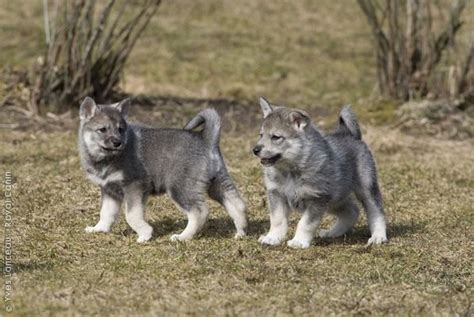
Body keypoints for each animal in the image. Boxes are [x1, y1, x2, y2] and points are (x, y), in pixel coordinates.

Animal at [78, 96, 248, 242]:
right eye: (102, 129)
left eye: (120, 129)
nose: (117, 143)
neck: (107, 158)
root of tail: (207, 141)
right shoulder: (109, 190)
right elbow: (106, 213)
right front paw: (99, 229)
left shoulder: (134, 187)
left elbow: (131, 215)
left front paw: (145, 234)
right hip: (217, 184)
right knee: (237, 204)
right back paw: (240, 232)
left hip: (180, 188)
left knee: (200, 213)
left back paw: (182, 237)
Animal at [254, 97, 386, 248]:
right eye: (261, 135)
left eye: (276, 137)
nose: (255, 150)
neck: (291, 170)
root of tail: (347, 133)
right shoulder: (276, 194)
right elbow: (277, 220)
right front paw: (272, 238)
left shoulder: (317, 199)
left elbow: (305, 223)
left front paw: (299, 241)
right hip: (335, 198)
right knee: (352, 211)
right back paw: (332, 232)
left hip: (366, 189)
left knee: (376, 212)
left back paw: (378, 236)